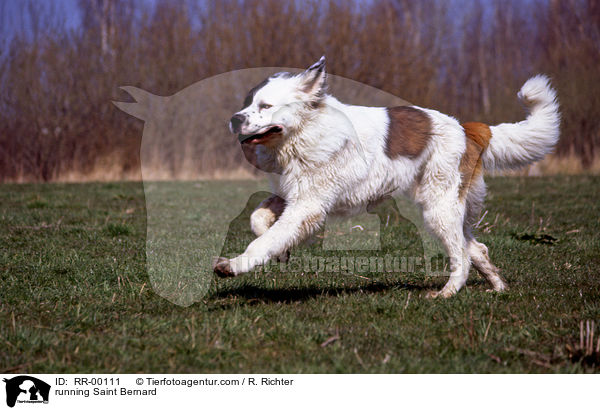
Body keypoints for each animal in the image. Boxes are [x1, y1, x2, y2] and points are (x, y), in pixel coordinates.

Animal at [213, 55, 560, 298]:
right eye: (248, 103)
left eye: (265, 105)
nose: (234, 119)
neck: (303, 132)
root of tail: (465, 127)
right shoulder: (293, 196)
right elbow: (259, 220)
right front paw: (282, 252)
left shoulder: (307, 207)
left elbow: (265, 241)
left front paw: (234, 265)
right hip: (448, 208)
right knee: (477, 247)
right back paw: (498, 287)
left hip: (438, 208)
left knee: (461, 254)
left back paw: (446, 293)